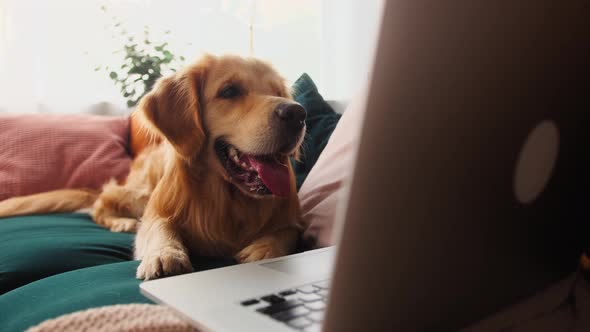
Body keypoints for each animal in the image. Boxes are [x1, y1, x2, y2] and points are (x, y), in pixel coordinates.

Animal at [0, 55, 308, 280]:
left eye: (277, 92)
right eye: (229, 91)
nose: (297, 113)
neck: (228, 201)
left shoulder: (291, 220)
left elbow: (288, 232)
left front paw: (264, 249)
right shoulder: (158, 209)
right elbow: (158, 225)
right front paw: (165, 253)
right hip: (139, 193)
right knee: (101, 204)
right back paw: (122, 222)